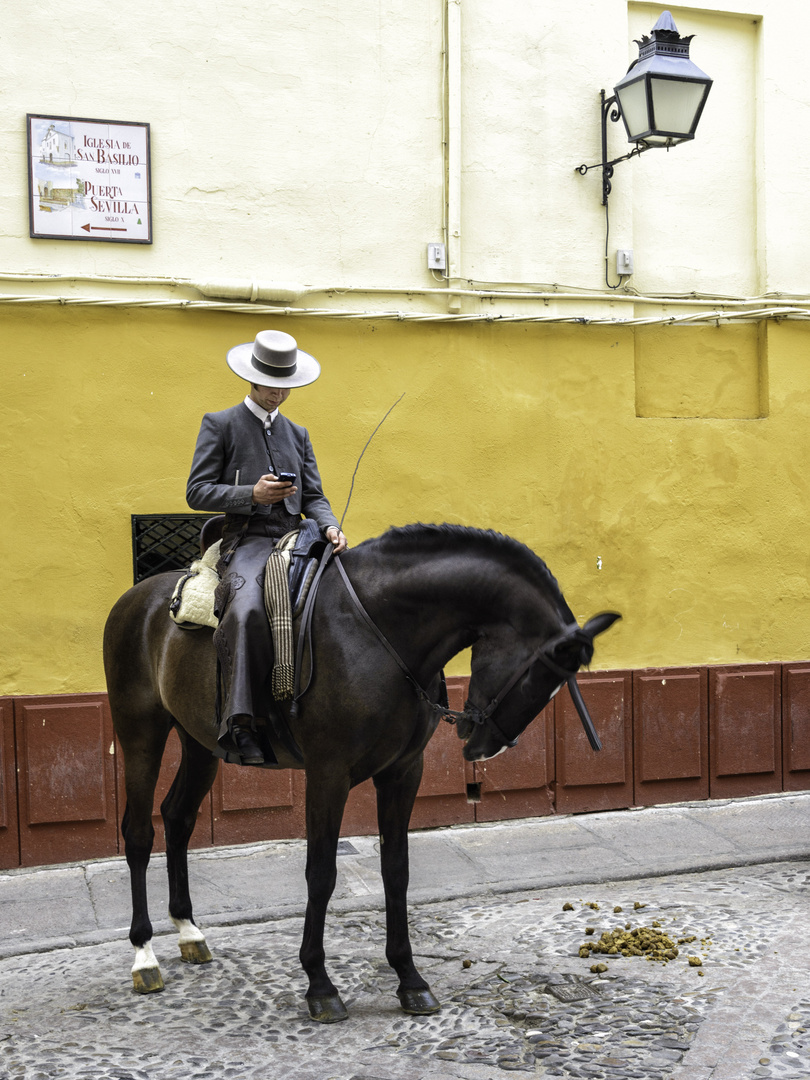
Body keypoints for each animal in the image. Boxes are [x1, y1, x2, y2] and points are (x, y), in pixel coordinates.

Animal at [103, 522, 622, 1019]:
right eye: (537, 676)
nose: (486, 749)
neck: (380, 631)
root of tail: (137, 596)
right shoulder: (327, 774)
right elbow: (321, 873)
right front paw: (319, 983)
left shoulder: (403, 773)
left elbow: (396, 870)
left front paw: (409, 977)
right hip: (139, 730)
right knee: (138, 833)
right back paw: (144, 954)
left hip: (200, 743)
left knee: (178, 817)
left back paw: (188, 930)